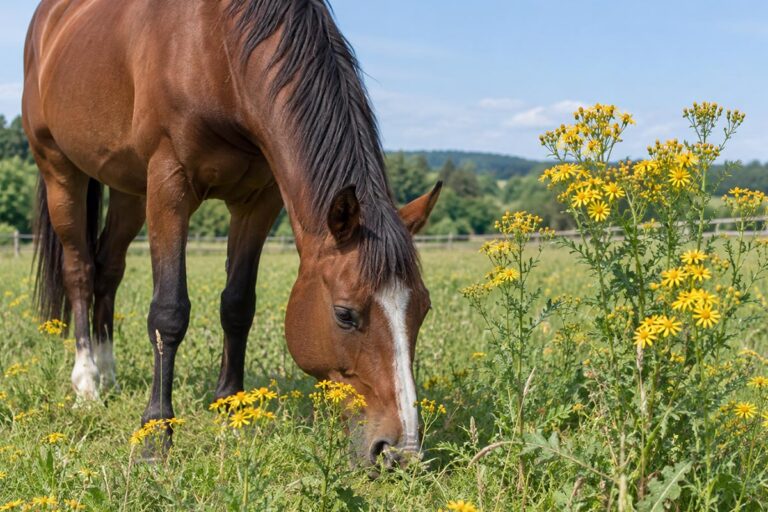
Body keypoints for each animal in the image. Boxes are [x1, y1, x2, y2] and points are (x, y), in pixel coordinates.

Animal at [22, 0, 441, 467]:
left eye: (422, 309)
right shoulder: (169, 183)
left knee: (108, 270)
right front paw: (155, 434)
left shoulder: (258, 200)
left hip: (128, 189)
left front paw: (231, 408)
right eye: (345, 314)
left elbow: (238, 305)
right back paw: (87, 382)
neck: (218, 48)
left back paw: (109, 370)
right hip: (60, 171)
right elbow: (168, 312)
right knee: (79, 270)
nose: (400, 452)